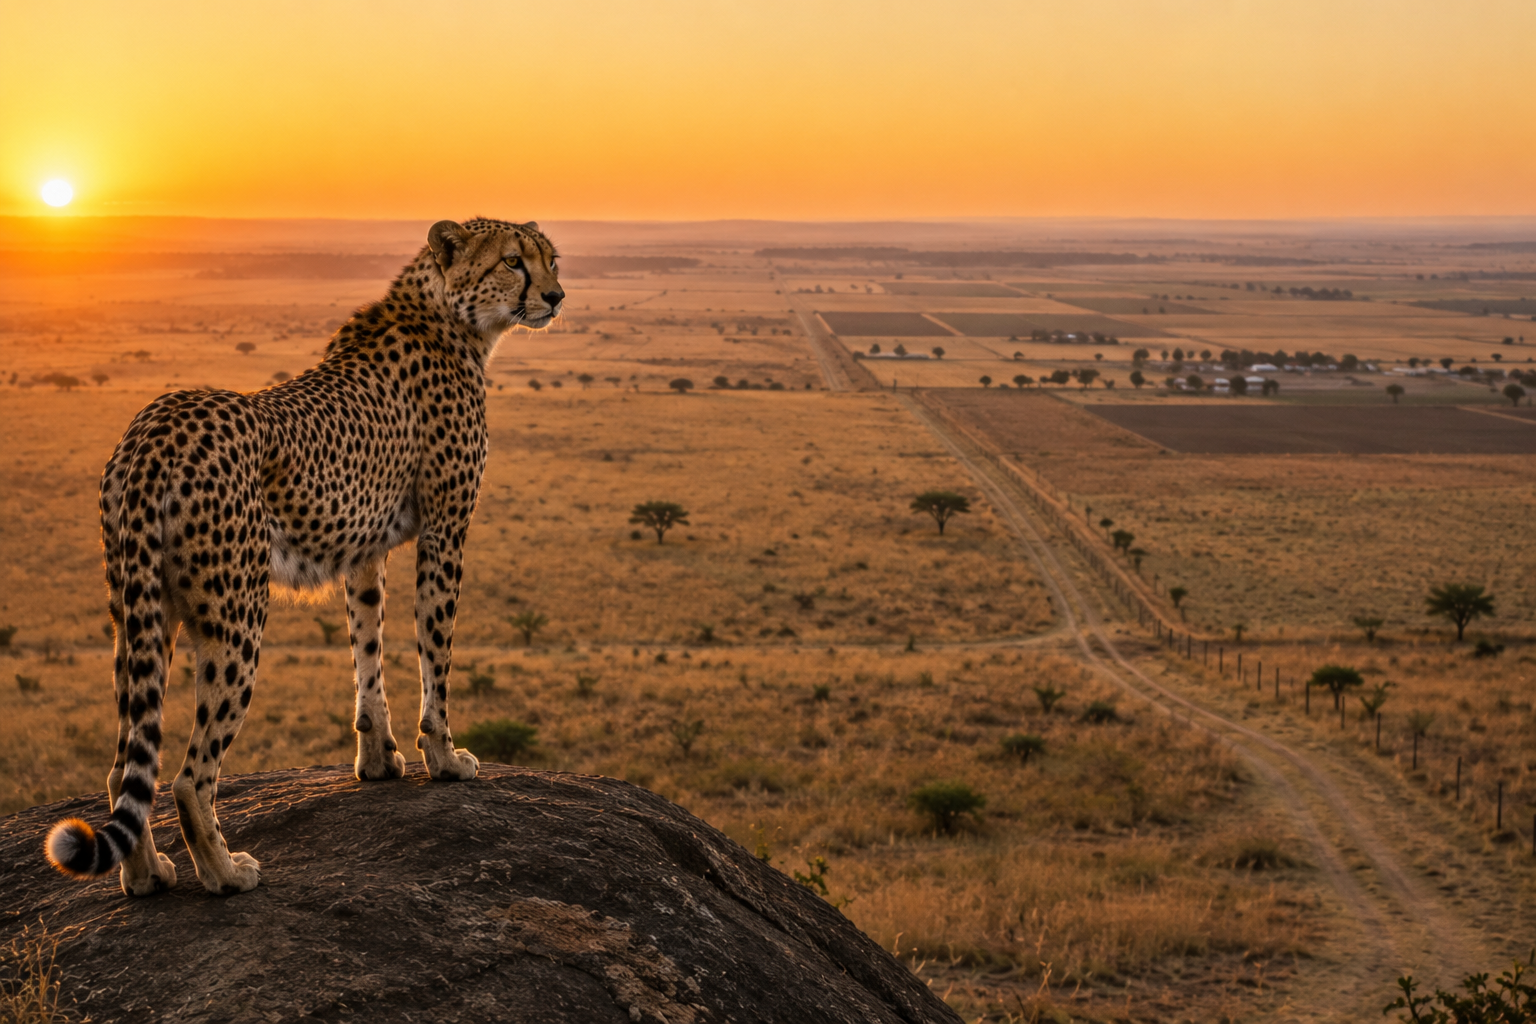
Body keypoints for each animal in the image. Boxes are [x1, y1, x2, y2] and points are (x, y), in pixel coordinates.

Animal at [45, 218, 563, 897]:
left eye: (552, 260)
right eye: (512, 262)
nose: (556, 296)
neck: (452, 318)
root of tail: (157, 425)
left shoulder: (363, 550)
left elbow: (367, 647)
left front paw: (378, 757)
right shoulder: (445, 532)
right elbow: (436, 654)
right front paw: (445, 757)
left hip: (138, 619)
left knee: (125, 764)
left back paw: (148, 876)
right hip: (236, 615)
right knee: (190, 774)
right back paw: (224, 873)